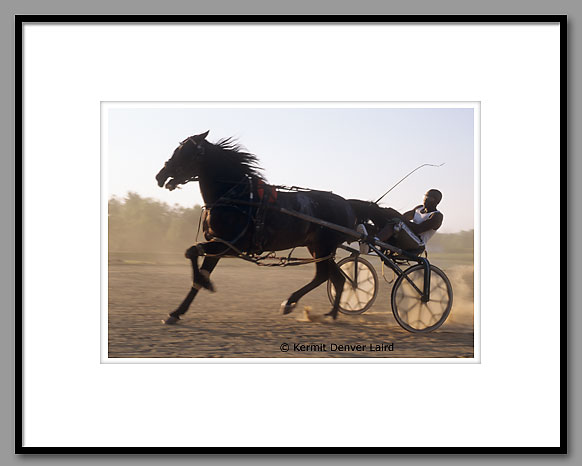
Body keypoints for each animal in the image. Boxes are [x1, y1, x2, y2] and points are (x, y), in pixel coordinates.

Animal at [154, 129, 356, 322]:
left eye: (185, 152)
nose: (160, 176)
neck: (236, 197)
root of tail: (347, 205)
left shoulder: (230, 245)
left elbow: (191, 252)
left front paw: (206, 284)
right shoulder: (218, 244)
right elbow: (197, 264)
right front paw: (177, 312)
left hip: (323, 247)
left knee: (324, 276)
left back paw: (292, 303)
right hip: (317, 248)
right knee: (334, 278)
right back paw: (330, 313)